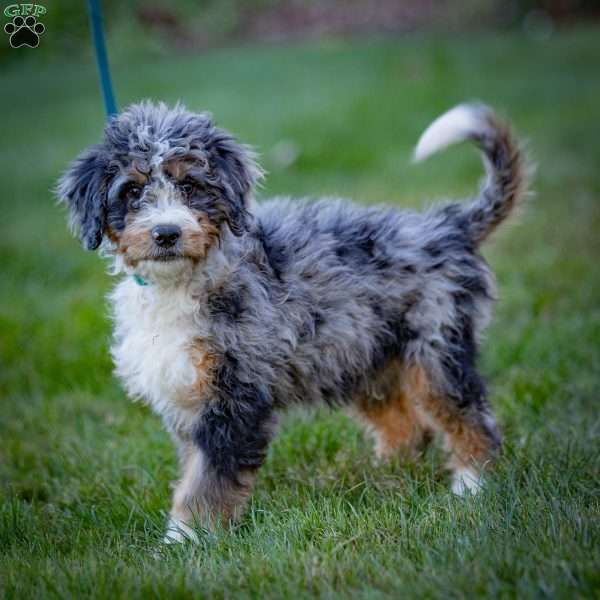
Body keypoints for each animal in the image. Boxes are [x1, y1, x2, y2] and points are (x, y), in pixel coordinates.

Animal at [56, 99, 524, 544]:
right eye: (132, 190)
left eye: (189, 185)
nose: (167, 233)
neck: (184, 281)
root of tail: (448, 225)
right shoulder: (192, 397)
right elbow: (193, 471)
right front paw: (184, 538)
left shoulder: (234, 398)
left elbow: (205, 481)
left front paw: (184, 541)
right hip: (363, 355)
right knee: (406, 424)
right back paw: (383, 473)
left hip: (435, 347)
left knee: (467, 416)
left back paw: (471, 485)